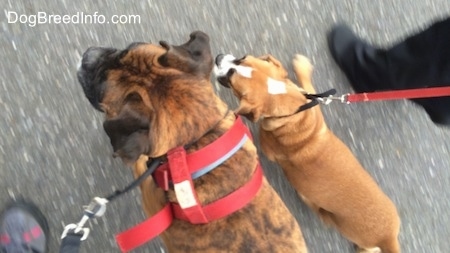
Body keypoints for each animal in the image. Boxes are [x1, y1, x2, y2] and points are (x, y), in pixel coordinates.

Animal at [214, 53, 400, 253]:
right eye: (242, 58)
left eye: (230, 79)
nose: (218, 57)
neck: (294, 113)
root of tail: (387, 238)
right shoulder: (312, 99)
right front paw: (302, 67)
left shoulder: (267, 147)